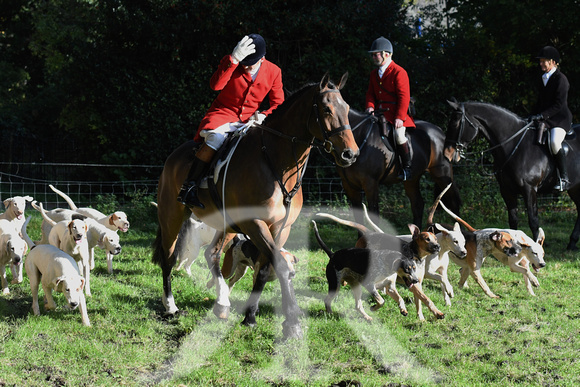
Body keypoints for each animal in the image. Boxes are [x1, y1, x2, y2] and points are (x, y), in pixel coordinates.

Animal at [151, 73, 358, 340]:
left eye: (348, 109)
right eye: (326, 109)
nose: (350, 154)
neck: (278, 164)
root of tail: (174, 156)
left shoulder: (280, 227)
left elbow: (265, 267)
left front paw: (250, 316)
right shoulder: (254, 223)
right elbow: (280, 266)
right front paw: (292, 322)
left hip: (225, 224)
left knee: (212, 255)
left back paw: (222, 303)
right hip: (171, 217)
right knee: (168, 257)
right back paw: (171, 306)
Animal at [444, 101, 580, 250]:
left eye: (455, 123)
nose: (447, 153)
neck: (515, 146)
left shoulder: (529, 189)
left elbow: (533, 220)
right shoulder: (506, 190)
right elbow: (513, 220)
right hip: (575, 188)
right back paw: (572, 243)